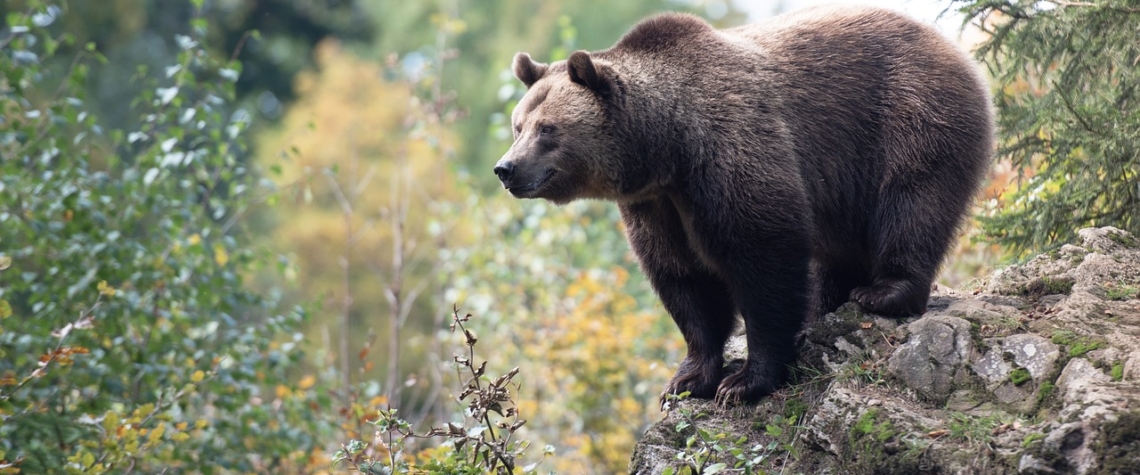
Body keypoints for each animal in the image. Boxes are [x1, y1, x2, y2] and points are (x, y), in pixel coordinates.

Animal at [494, 5, 994, 400]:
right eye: (519, 125)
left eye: (548, 129)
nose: (506, 168)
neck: (668, 149)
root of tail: (953, 46)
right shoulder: (658, 205)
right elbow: (684, 279)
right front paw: (688, 378)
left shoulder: (732, 151)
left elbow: (762, 257)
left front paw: (744, 382)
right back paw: (825, 304)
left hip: (909, 115)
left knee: (913, 203)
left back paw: (884, 292)